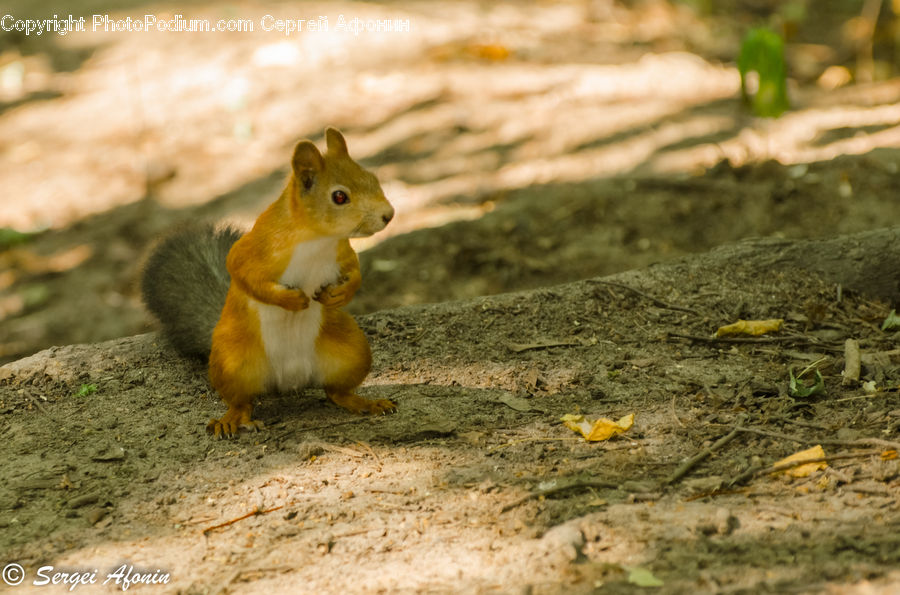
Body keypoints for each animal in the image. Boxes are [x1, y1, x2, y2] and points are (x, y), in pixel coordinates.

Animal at [141, 128, 396, 438]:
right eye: (339, 197)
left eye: (373, 179)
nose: (389, 215)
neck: (317, 239)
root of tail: (289, 380)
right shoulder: (253, 249)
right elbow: (243, 274)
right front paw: (291, 299)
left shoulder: (342, 252)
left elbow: (355, 271)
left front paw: (341, 294)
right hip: (233, 362)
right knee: (241, 402)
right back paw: (230, 419)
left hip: (353, 351)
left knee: (336, 392)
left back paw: (366, 402)